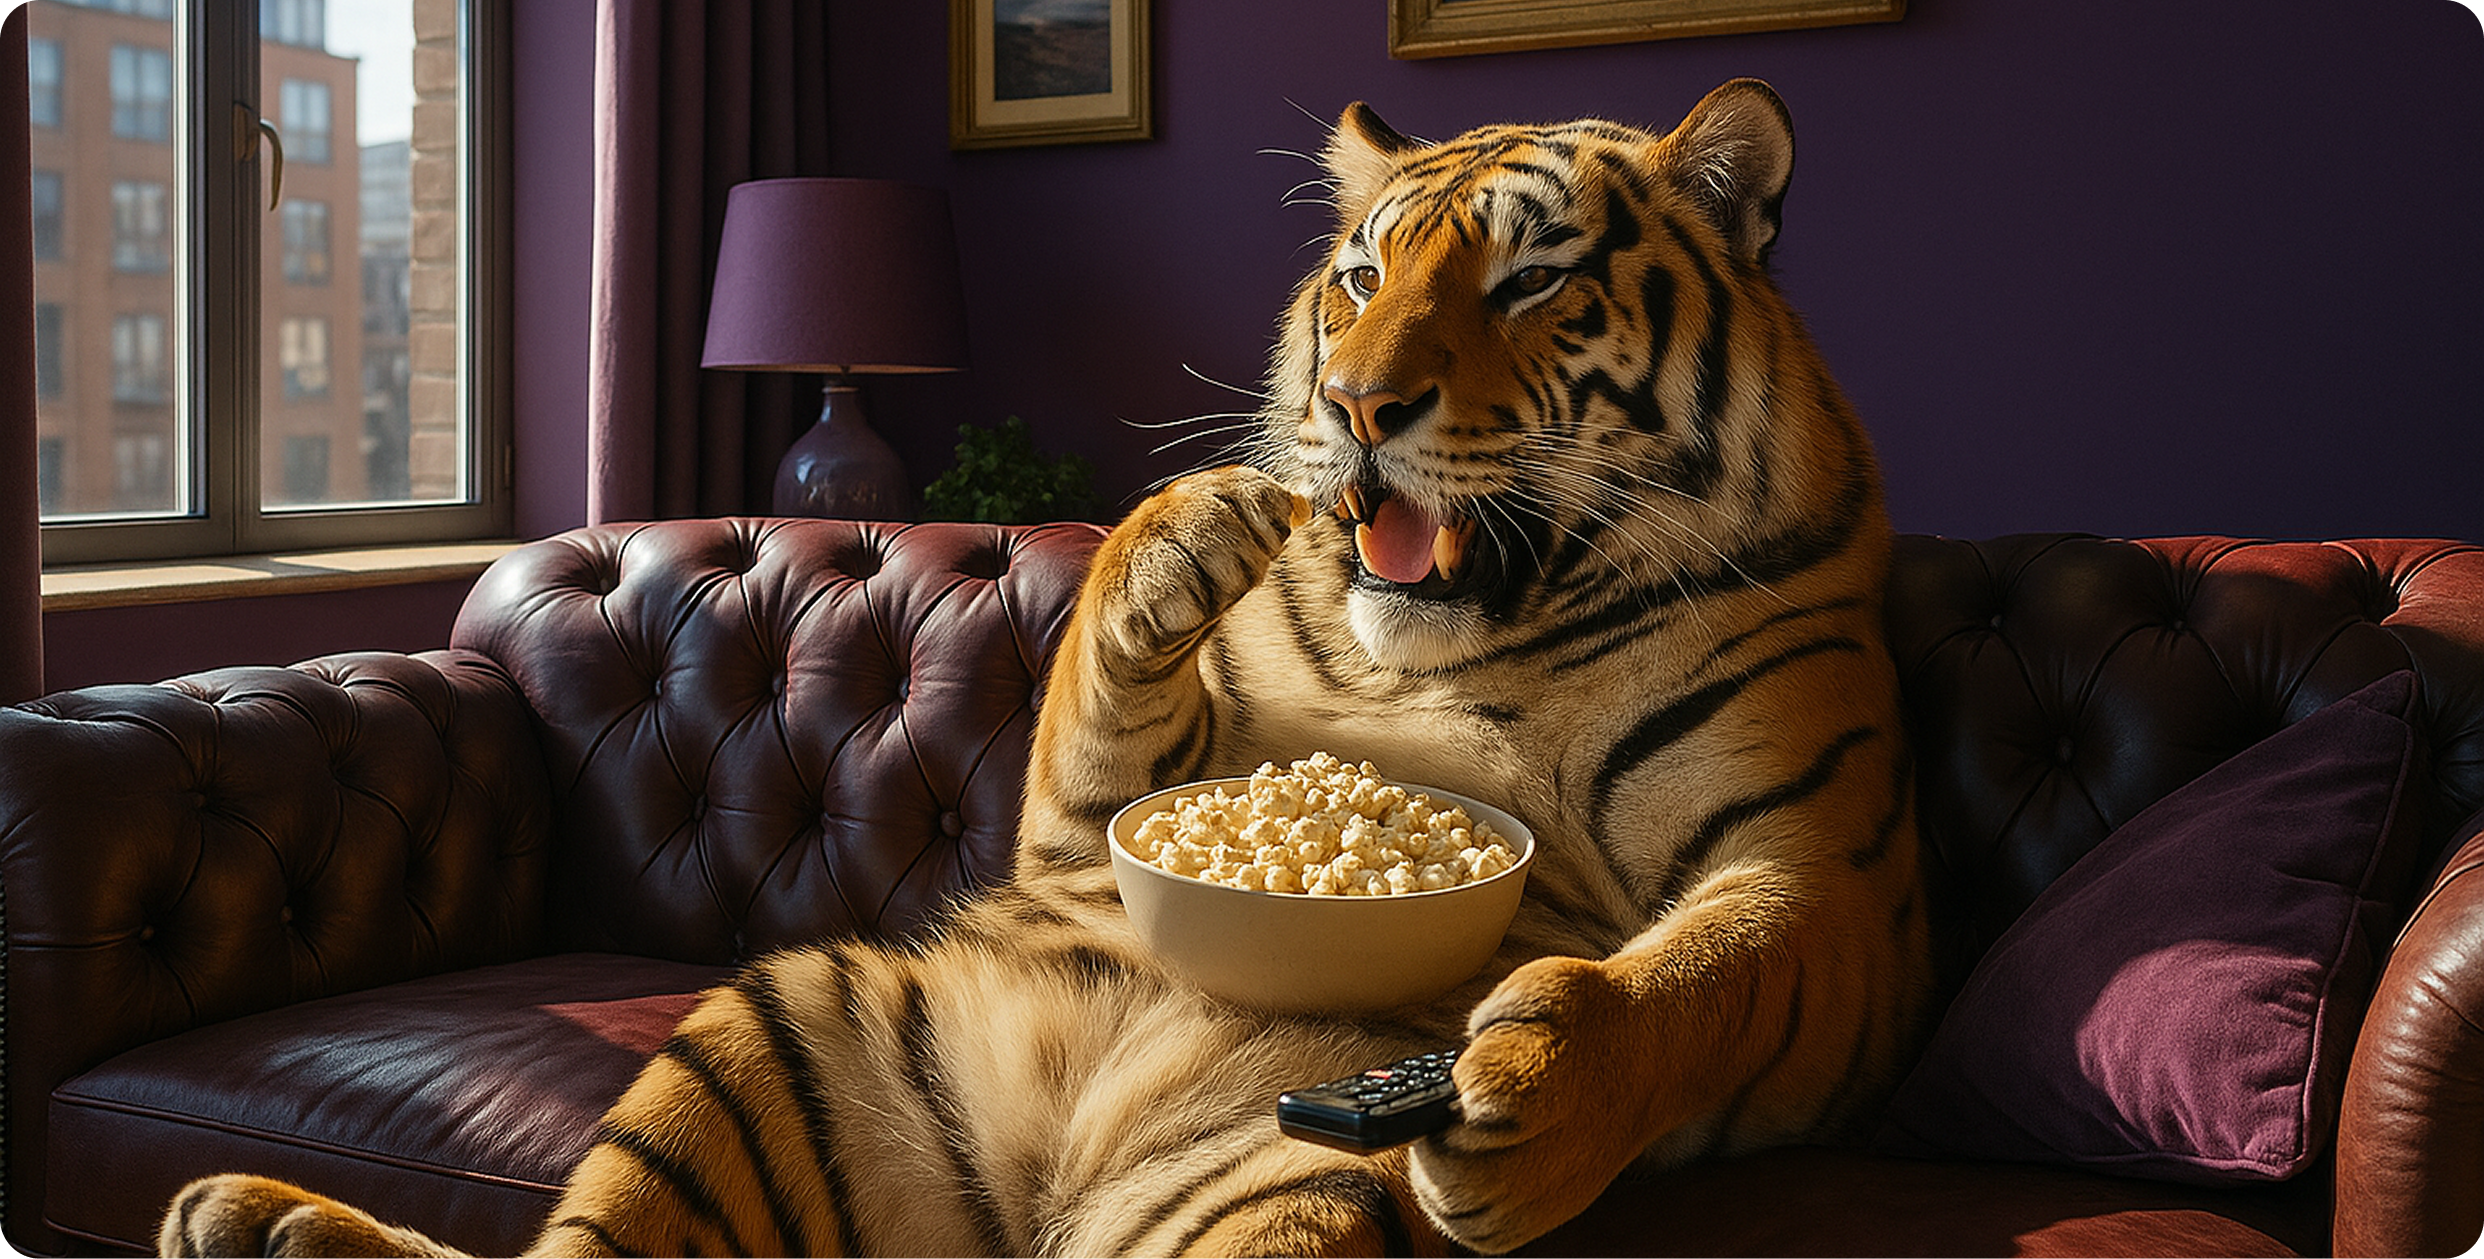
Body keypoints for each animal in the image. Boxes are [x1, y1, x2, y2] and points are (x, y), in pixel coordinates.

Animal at [158, 77, 1928, 1259]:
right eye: (1363, 276)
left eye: (1532, 281)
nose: (1353, 407)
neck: (1453, 655)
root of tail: (1035, 1192)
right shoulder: (1088, 838)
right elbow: (1097, 714)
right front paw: (1184, 533)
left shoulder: (1826, 886)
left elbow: (1694, 977)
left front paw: (1536, 1091)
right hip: (791, 1022)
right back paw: (265, 1217)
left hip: (1273, 1195)